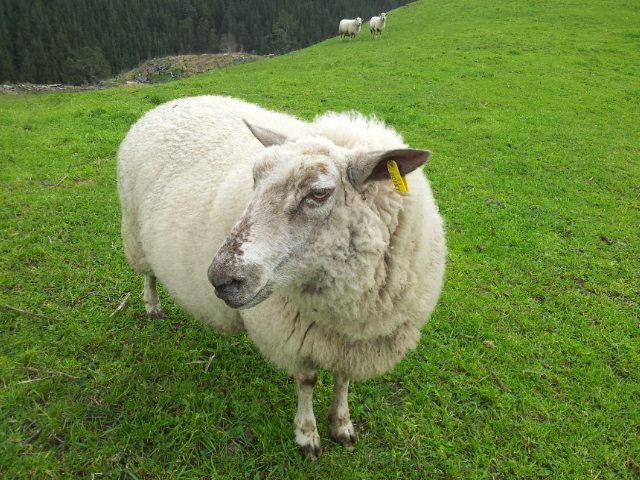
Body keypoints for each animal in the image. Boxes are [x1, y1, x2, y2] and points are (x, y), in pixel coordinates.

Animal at [117, 95, 446, 459]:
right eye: (254, 180)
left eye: (319, 193)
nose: (220, 280)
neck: (347, 308)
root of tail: (172, 102)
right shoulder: (294, 334)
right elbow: (307, 382)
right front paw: (307, 435)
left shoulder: (349, 338)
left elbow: (343, 378)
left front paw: (342, 424)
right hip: (133, 230)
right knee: (148, 274)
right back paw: (153, 307)